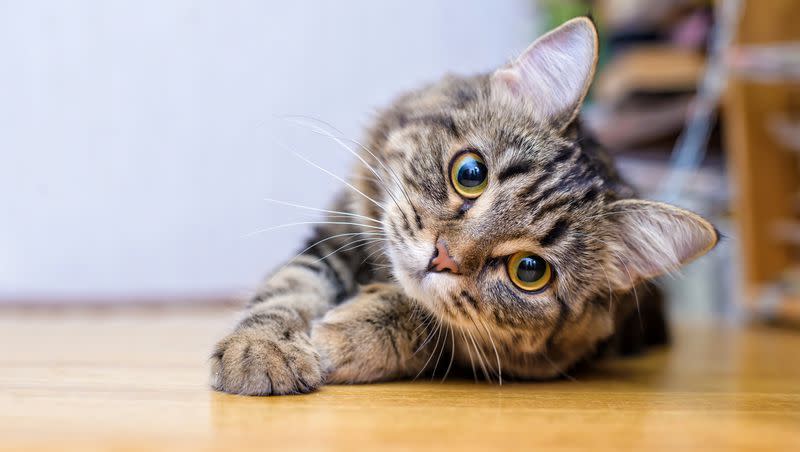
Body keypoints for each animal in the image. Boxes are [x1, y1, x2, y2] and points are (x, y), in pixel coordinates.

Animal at [209, 18, 716, 396]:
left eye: (529, 270)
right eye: (470, 173)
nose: (443, 256)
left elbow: (423, 320)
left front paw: (342, 335)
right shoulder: (336, 237)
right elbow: (287, 290)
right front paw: (260, 351)